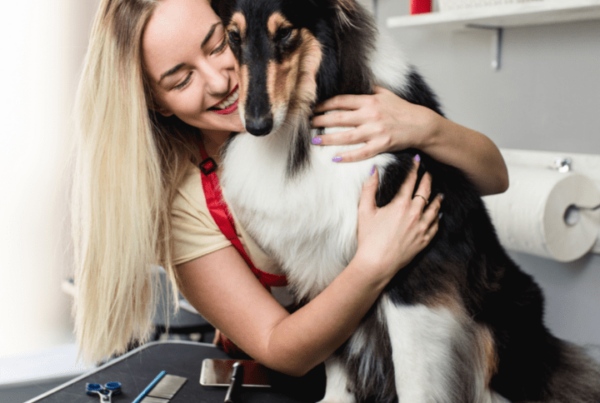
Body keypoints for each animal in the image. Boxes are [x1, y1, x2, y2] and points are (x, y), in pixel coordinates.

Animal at [210, 0, 600, 400]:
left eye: (286, 33)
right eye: (233, 36)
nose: (257, 126)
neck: (306, 123)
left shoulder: (412, 272)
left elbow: (413, 376)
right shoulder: (323, 260)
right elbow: (336, 359)